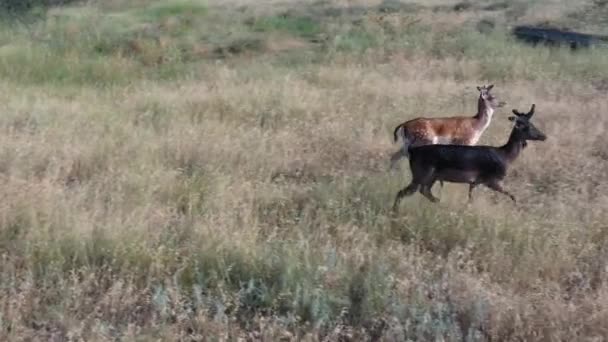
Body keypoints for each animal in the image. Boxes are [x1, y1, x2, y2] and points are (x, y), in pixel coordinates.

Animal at [392, 103, 548, 211]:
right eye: (526, 126)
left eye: (531, 123)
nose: (543, 136)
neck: (505, 156)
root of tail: (412, 151)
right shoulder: (492, 181)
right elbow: (513, 196)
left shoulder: (474, 182)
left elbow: (470, 199)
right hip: (421, 176)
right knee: (402, 192)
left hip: (431, 178)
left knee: (424, 191)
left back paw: (440, 203)